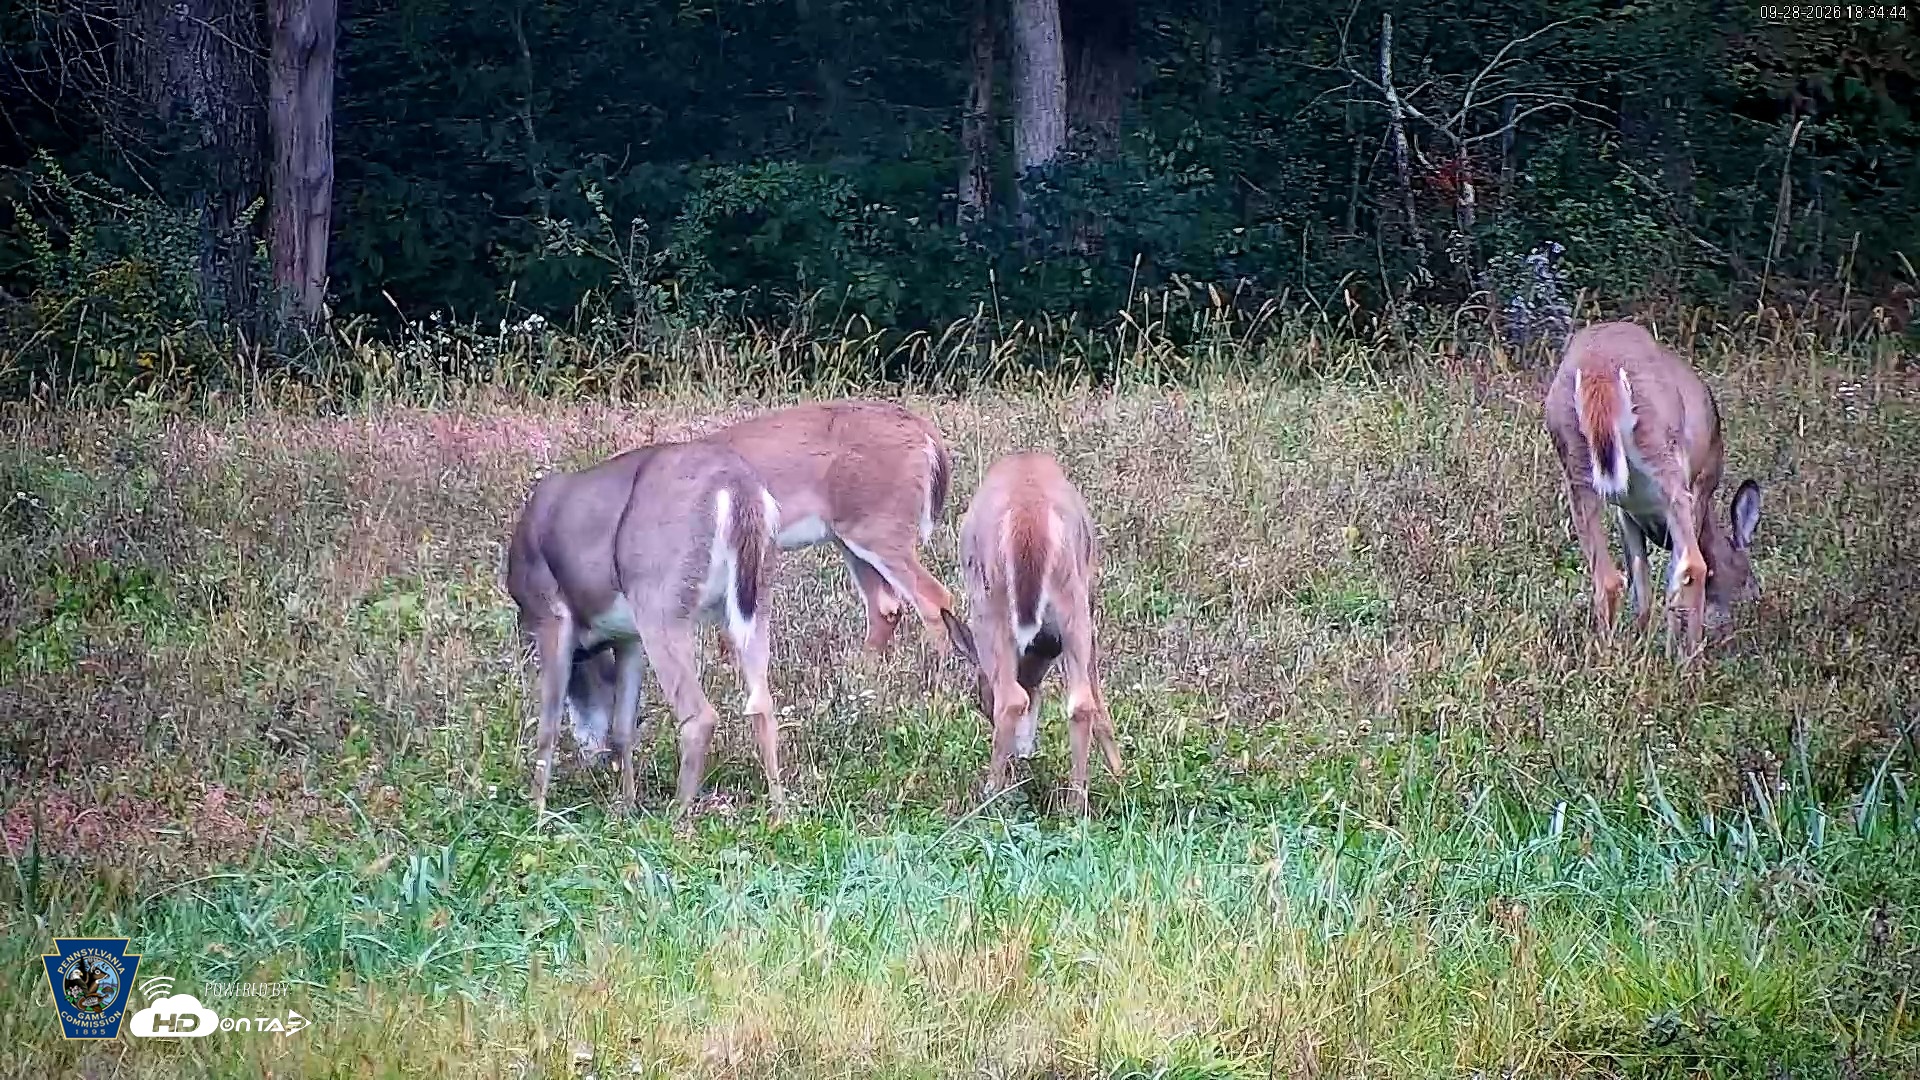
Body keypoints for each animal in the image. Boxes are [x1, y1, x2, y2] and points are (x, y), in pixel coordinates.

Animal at [504, 440, 782, 818]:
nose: (592, 753)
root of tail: (738, 487)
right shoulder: (628, 637)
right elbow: (623, 728)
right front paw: (625, 808)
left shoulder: (549, 612)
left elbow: (548, 723)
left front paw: (536, 810)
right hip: (754, 597)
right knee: (763, 703)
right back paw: (780, 814)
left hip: (659, 598)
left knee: (700, 715)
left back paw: (676, 816)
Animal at [938, 452, 1122, 814]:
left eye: (980, 699)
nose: (1022, 756)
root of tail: (1028, 520)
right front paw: (1120, 771)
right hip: (1073, 598)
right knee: (1081, 701)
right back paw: (1075, 805)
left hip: (990, 604)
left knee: (1013, 698)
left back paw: (991, 797)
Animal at [1543, 321, 1764, 662]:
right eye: (1749, 578)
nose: (1755, 603)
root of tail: (1598, 368)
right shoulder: (1699, 486)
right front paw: (1674, 649)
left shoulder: (1626, 512)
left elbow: (1641, 582)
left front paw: (1643, 641)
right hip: (1665, 454)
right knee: (1692, 565)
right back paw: (1690, 661)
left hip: (1575, 464)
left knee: (1606, 578)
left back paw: (1607, 657)